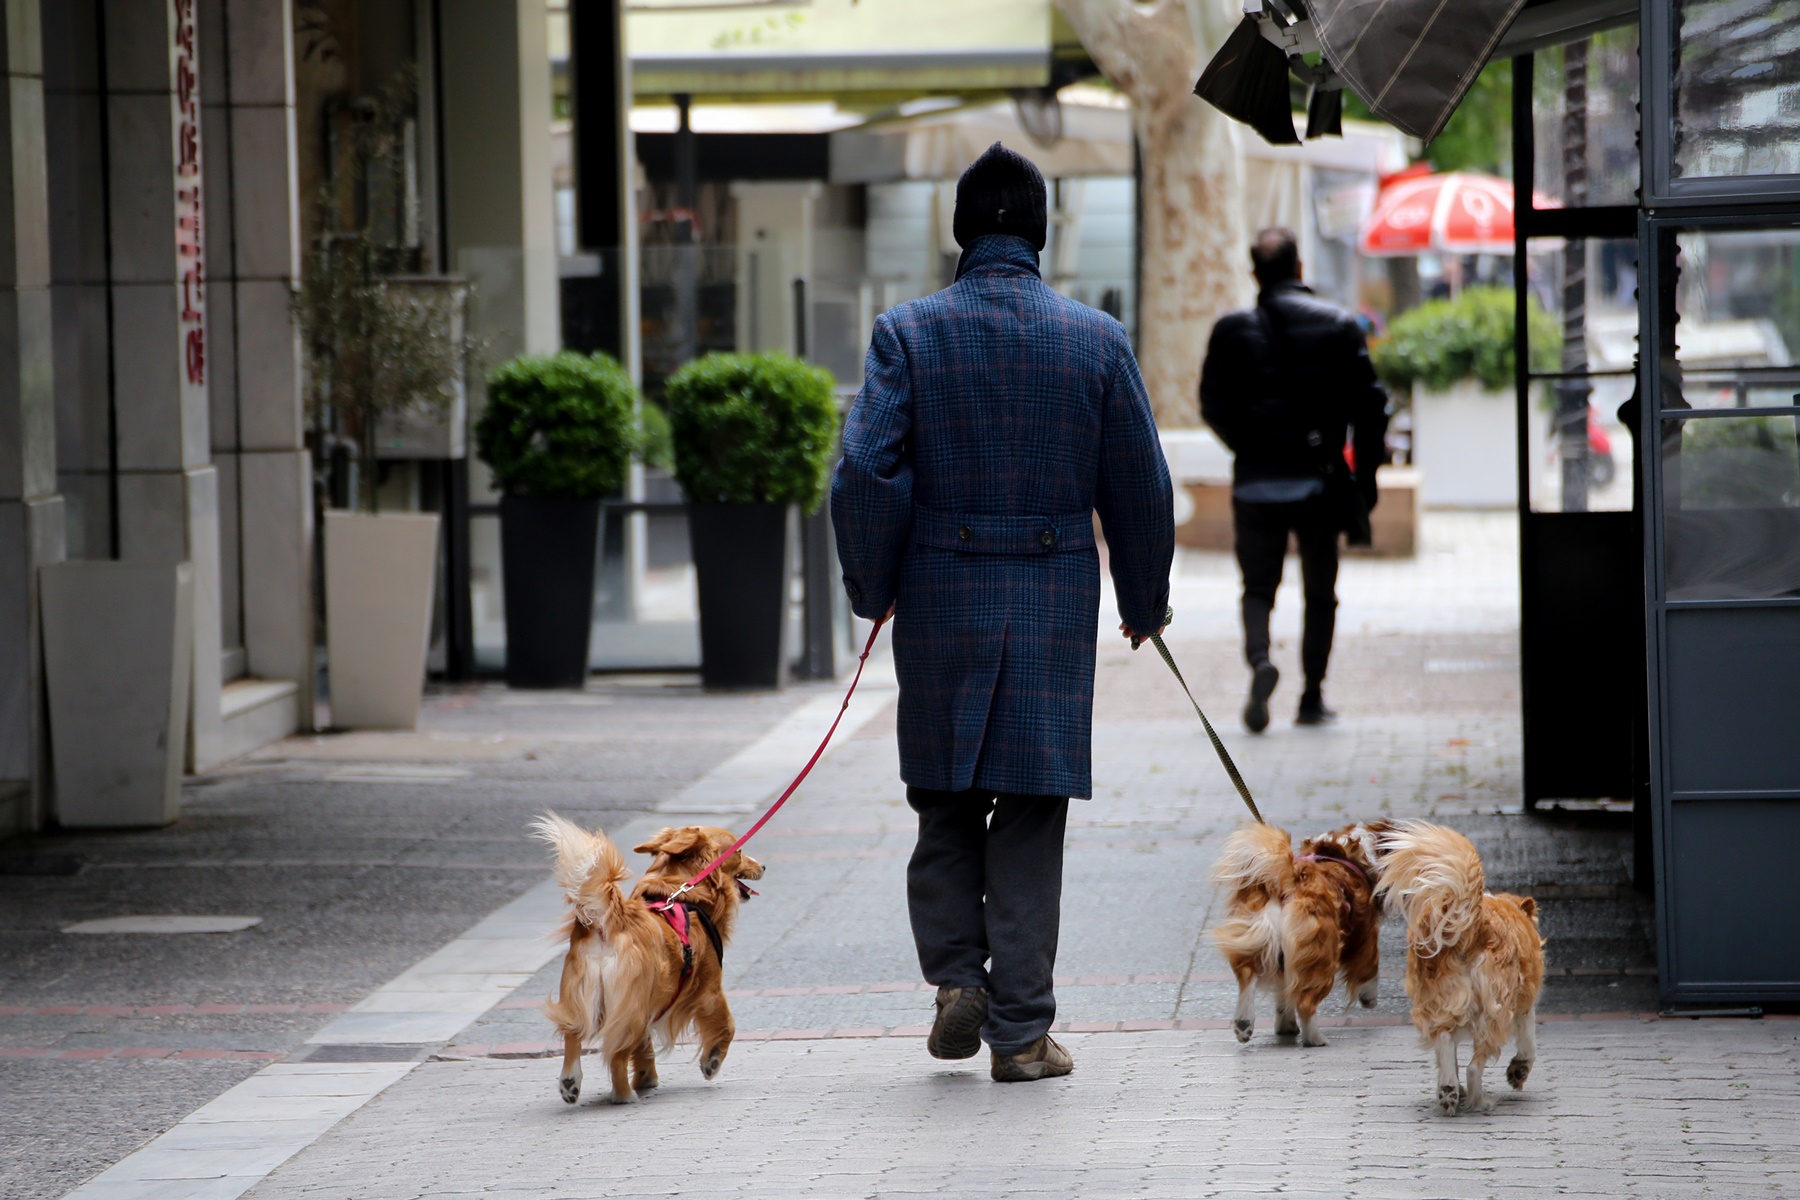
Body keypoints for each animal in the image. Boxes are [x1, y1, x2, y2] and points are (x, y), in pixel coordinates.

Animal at [529, 816, 763, 1108]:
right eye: (739, 851)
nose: (763, 866)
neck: (681, 891)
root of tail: (611, 921)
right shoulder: (709, 988)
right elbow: (728, 1025)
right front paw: (712, 1060)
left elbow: (644, 1047)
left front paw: (645, 1076)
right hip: (634, 1008)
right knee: (616, 1054)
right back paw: (623, 1095)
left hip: (586, 995)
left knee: (574, 1033)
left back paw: (571, 1081)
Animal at [1209, 820, 1389, 1043]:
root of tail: (1288, 879)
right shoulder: (1367, 935)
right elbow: (1370, 970)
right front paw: (1369, 998)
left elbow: (1283, 994)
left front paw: (1285, 1024)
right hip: (1321, 952)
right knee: (1306, 1003)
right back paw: (1315, 1039)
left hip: (1257, 936)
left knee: (1247, 975)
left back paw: (1244, 1022)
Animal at [1375, 827, 1548, 1115]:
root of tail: (1471, 925)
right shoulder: (1525, 1002)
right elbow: (1528, 1040)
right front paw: (1519, 1069)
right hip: (1496, 1008)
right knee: (1475, 1065)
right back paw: (1479, 1101)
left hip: (1441, 999)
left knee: (1445, 1040)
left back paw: (1448, 1090)